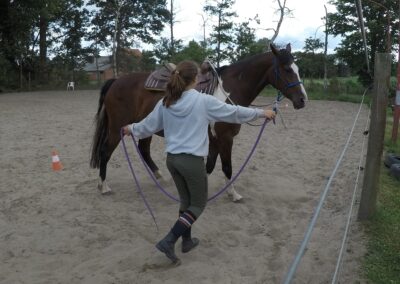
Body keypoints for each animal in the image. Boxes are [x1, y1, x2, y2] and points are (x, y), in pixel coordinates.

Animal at [90, 43, 308, 201]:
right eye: (287, 69)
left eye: (298, 68)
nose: (302, 100)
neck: (229, 90)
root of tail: (115, 81)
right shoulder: (225, 138)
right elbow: (227, 167)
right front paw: (233, 194)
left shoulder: (214, 140)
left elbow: (209, 166)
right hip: (116, 128)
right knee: (105, 151)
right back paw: (104, 186)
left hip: (145, 126)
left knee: (143, 150)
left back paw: (161, 178)